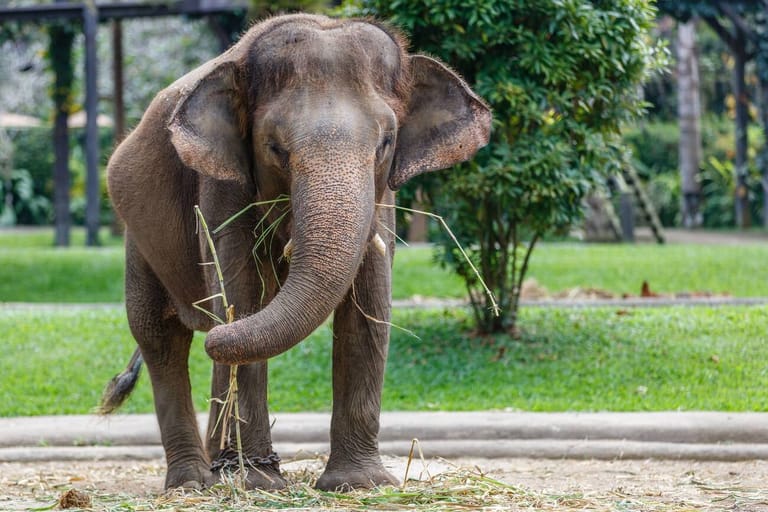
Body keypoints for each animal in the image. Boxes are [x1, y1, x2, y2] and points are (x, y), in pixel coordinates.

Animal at [101, 13, 491, 492]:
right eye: (275, 148)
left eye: (386, 142)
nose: (215, 335)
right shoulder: (221, 187)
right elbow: (241, 296)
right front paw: (258, 483)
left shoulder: (382, 197)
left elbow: (369, 306)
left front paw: (359, 484)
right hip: (136, 237)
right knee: (159, 336)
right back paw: (194, 482)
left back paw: (216, 467)